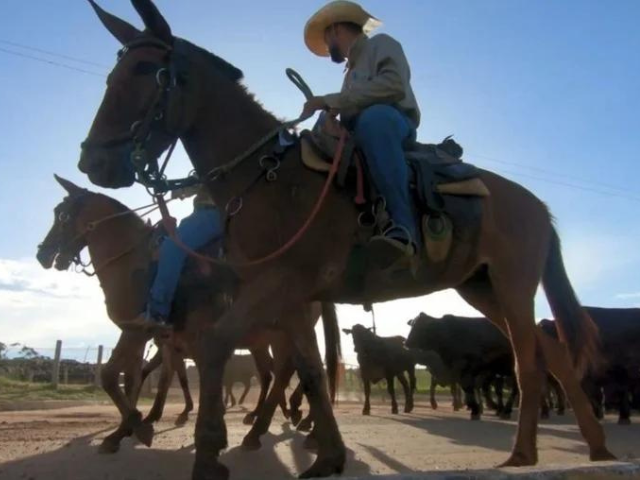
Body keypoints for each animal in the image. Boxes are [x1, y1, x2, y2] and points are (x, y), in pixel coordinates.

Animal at [35, 176, 340, 454]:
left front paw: (140, 426)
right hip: (270, 337)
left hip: (279, 334)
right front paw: (126, 430)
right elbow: (137, 379)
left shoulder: (138, 330)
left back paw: (270, 428)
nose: (42, 254)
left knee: (287, 372)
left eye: (62, 215)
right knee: (283, 372)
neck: (135, 262)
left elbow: (112, 376)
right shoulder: (152, 337)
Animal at [79, 1, 616, 478]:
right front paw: (328, 457)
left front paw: (209, 454)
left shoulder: (277, 284)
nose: (93, 163)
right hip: (480, 287)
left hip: (512, 282)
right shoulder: (291, 298)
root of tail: (536, 204)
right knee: (553, 355)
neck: (267, 177)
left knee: (529, 362)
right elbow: (311, 370)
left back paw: (525, 452)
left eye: (148, 70)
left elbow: (216, 346)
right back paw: (596, 447)